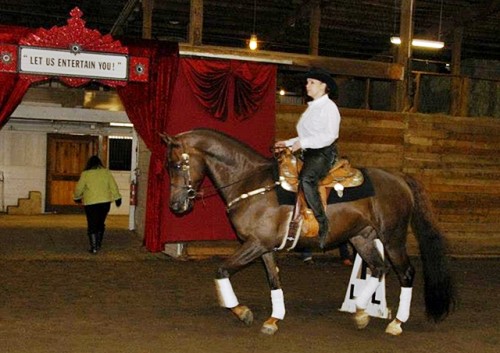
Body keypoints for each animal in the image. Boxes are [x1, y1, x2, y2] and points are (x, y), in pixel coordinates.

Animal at [162, 129, 456, 336]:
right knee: (378, 268)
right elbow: (274, 280)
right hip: (362, 238)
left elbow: (222, 270)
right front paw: (274, 319)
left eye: (177, 165)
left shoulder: (255, 244)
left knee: (406, 273)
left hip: (392, 238)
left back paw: (395, 322)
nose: (175, 206)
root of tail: (400, 179)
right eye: (168, 167)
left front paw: (241, 311)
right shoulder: (264, 247)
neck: (250, 183)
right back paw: (361, 311)